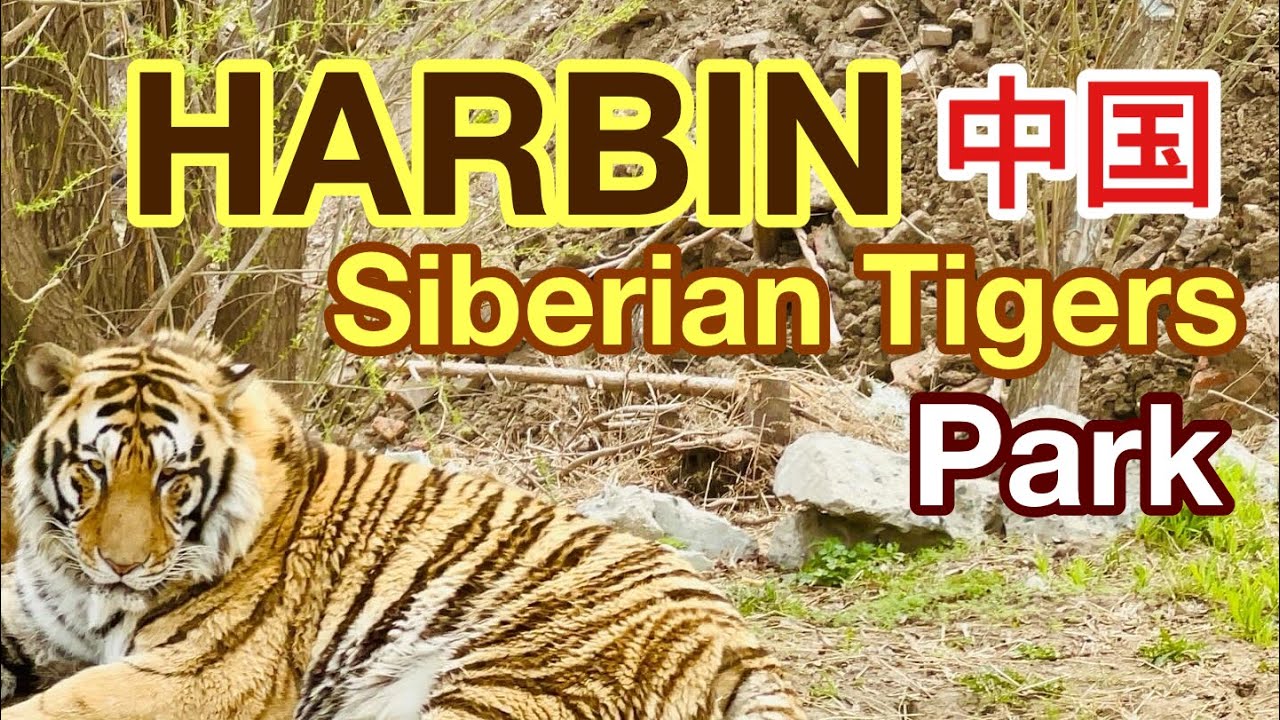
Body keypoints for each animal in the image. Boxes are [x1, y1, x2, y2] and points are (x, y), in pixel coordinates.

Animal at [0, 330, 804, 720]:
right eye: (94, 469)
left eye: (174, 480)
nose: (122, 566)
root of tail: (743, 643)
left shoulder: (198, 676)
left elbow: (62, 706)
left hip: (509, 682)